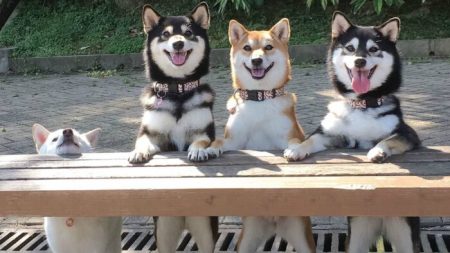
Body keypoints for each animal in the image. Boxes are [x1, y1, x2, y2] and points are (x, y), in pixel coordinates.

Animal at [127, 3, 219, 253]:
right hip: (164, 230)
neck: (177, 89)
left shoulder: (204, 132)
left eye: (188, 33)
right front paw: (138, 152)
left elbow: (201, 141)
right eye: (166, 34)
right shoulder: (152, 134)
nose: (178, 43)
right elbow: (142, 141)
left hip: (205, 230)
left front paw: (198, 151)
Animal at [206, 19, 314, 253]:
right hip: (247, 239)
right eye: (247, 48)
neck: (260, 98)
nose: (256, 60)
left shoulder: (289, 135)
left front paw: (296, 151)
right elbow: (219, 141)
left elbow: (296, 142)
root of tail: (274, 225)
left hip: (301, 237)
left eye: (268, 47)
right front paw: (206, 149)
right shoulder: (234, 141)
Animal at [284, 11, 422, 253]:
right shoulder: (331, 134)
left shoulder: (408, 135)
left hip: (404, 235)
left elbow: (389, 139)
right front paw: (297, 150)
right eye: (350, 48)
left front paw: (377, 151)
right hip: (358, 235)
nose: (360, 61)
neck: (362, 103)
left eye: (374, 49)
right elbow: (310, 140)